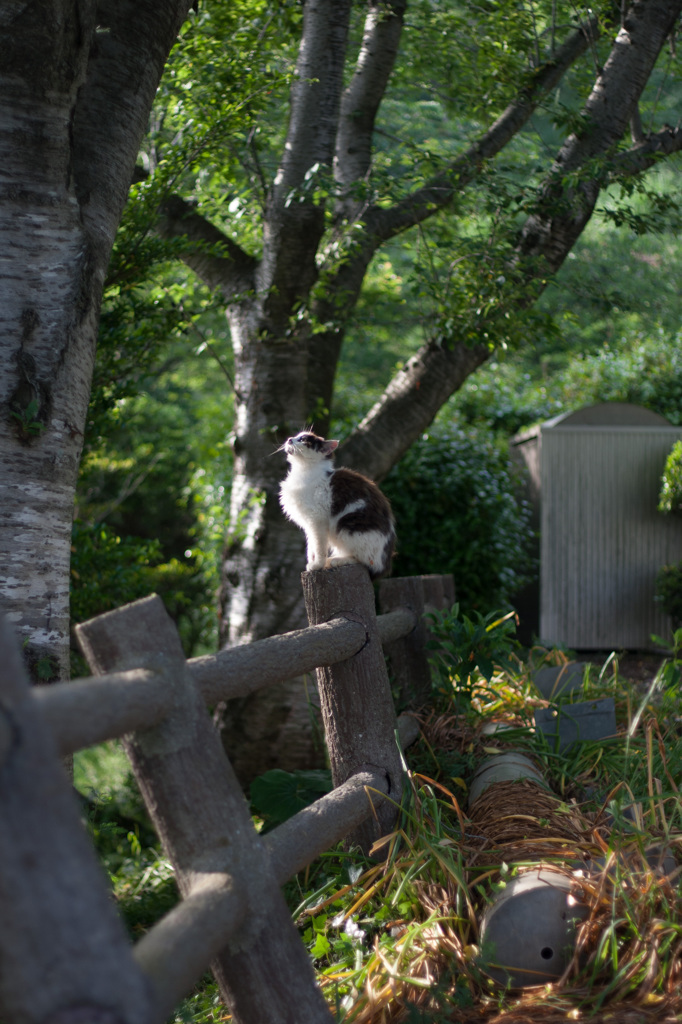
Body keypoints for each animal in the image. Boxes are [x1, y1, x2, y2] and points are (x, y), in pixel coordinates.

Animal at [276, 430, 393, 581]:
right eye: (296, 436)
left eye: (303, 440)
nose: (290, 439)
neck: (303, 471)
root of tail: (385, 565)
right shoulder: (309, 525)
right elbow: (311, 547)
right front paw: (312, 562)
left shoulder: (317, 521)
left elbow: (319, 547)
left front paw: (317, 565)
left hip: (347, 527)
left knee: (366, 561)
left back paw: (337, 561)